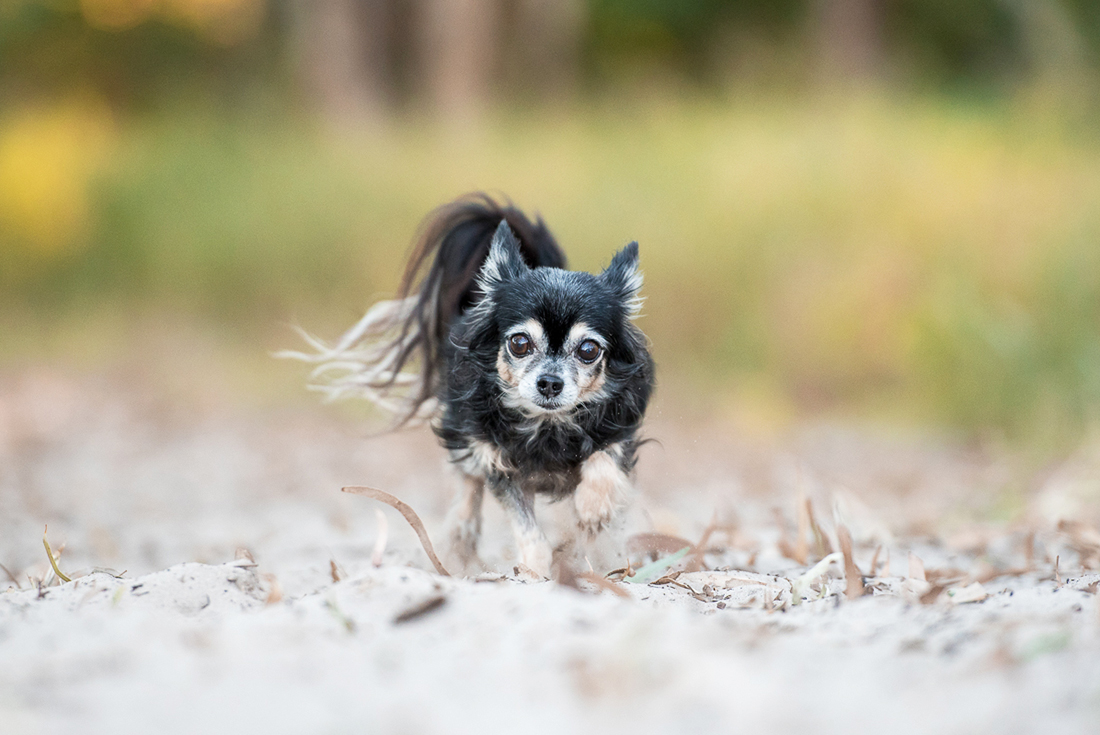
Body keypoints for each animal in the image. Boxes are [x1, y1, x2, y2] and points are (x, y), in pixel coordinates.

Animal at [288, 193, 655, 572]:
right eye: (520, 343)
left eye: (588, 350)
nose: (550, 382)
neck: (547, 425)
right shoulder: (499, 466)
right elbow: (528, 531)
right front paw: (536, 570)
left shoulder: (620, 431)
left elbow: (604, 460)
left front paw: (594, 510)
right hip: (464, 441)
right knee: (467, 492)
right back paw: (459, 551)